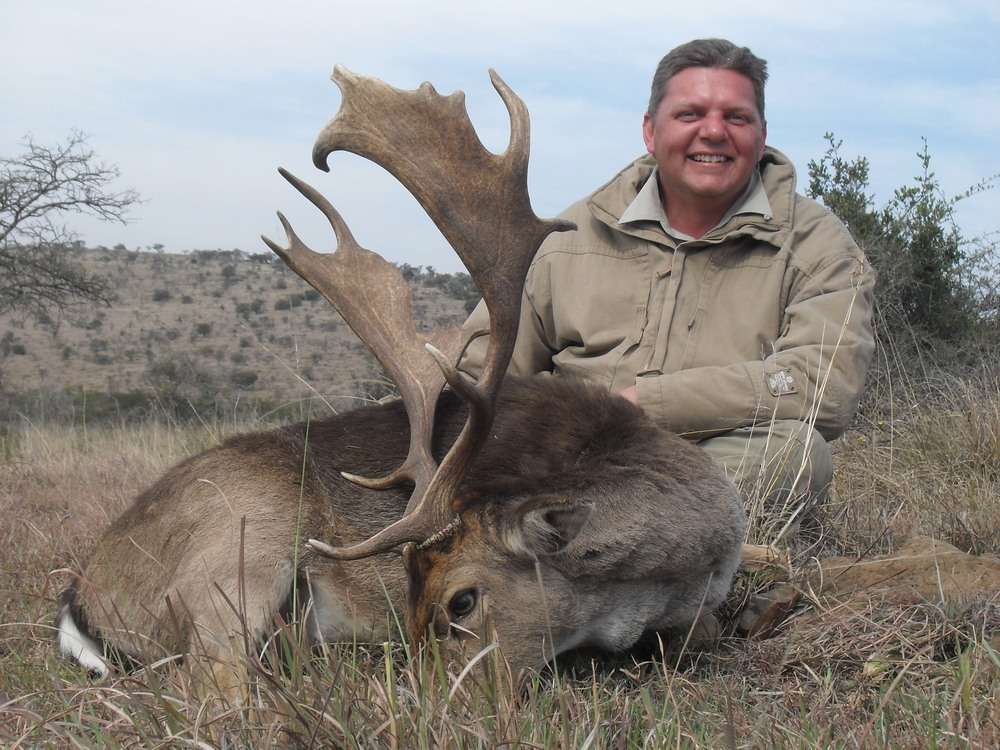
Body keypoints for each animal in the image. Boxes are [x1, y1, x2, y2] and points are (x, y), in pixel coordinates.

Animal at [57, 67, 752, 686]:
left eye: (461, 600)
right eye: (412, 593)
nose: (432, 698)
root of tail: (84, 597)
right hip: (239, 550)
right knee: (215, 682)